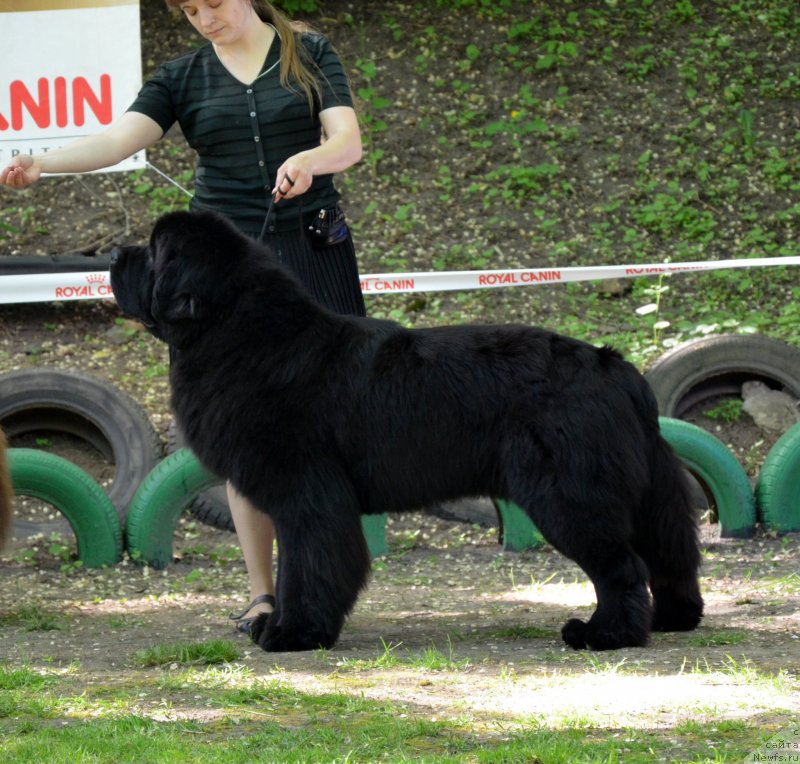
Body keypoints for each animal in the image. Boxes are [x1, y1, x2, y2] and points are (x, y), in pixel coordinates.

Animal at [111, 209, 700, 652]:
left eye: (155, 251)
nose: (114, 253)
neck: (241, 334)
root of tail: (616, 367)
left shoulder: (306, 492)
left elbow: (307, 564)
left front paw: (294, 633)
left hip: (569, 493)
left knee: (622, 565)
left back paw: (606, 634)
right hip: (638, 488)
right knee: (668, 552)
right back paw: (672, 618)